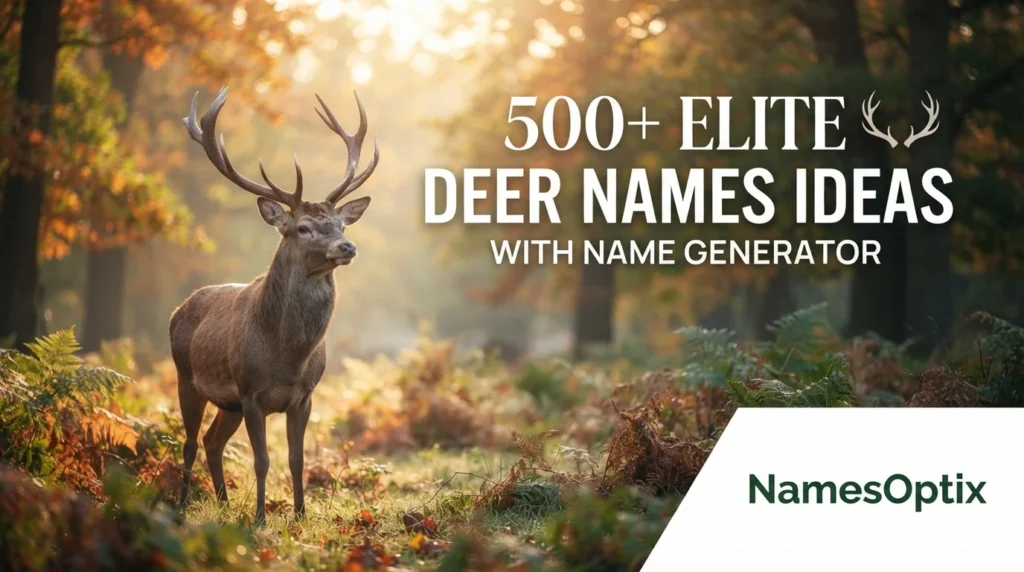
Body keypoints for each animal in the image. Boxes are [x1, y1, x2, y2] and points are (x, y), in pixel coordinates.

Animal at [169, 86, 379, 524]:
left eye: (341, 224)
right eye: (303, 227)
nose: (347, 247)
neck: (288, 358)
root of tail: (178, 309)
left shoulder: (304, 397)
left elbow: (297, 460)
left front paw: (299, 515)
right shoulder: (251, 394)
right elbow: (262, 460)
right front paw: (261, 518)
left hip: (228, 403)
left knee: (213, 442)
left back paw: (223, 504)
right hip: (187, 379)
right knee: (191, 443)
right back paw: (181, 503)